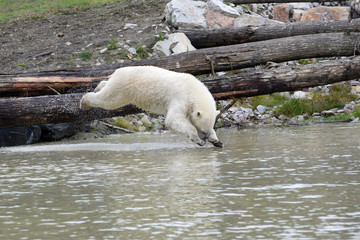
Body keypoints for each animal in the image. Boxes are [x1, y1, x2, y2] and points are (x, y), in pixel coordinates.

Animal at [80, 66, 224, 148]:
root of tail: (116, 72)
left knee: (106, 87)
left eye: (208, 130)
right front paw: (197, 139)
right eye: (202, 130)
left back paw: (98, 86)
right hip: (123, 86)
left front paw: (217, 141)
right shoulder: (181, 98)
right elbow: (173, 120)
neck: (194, 90)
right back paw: (84, 102)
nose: (205, 138)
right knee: (108, 99)